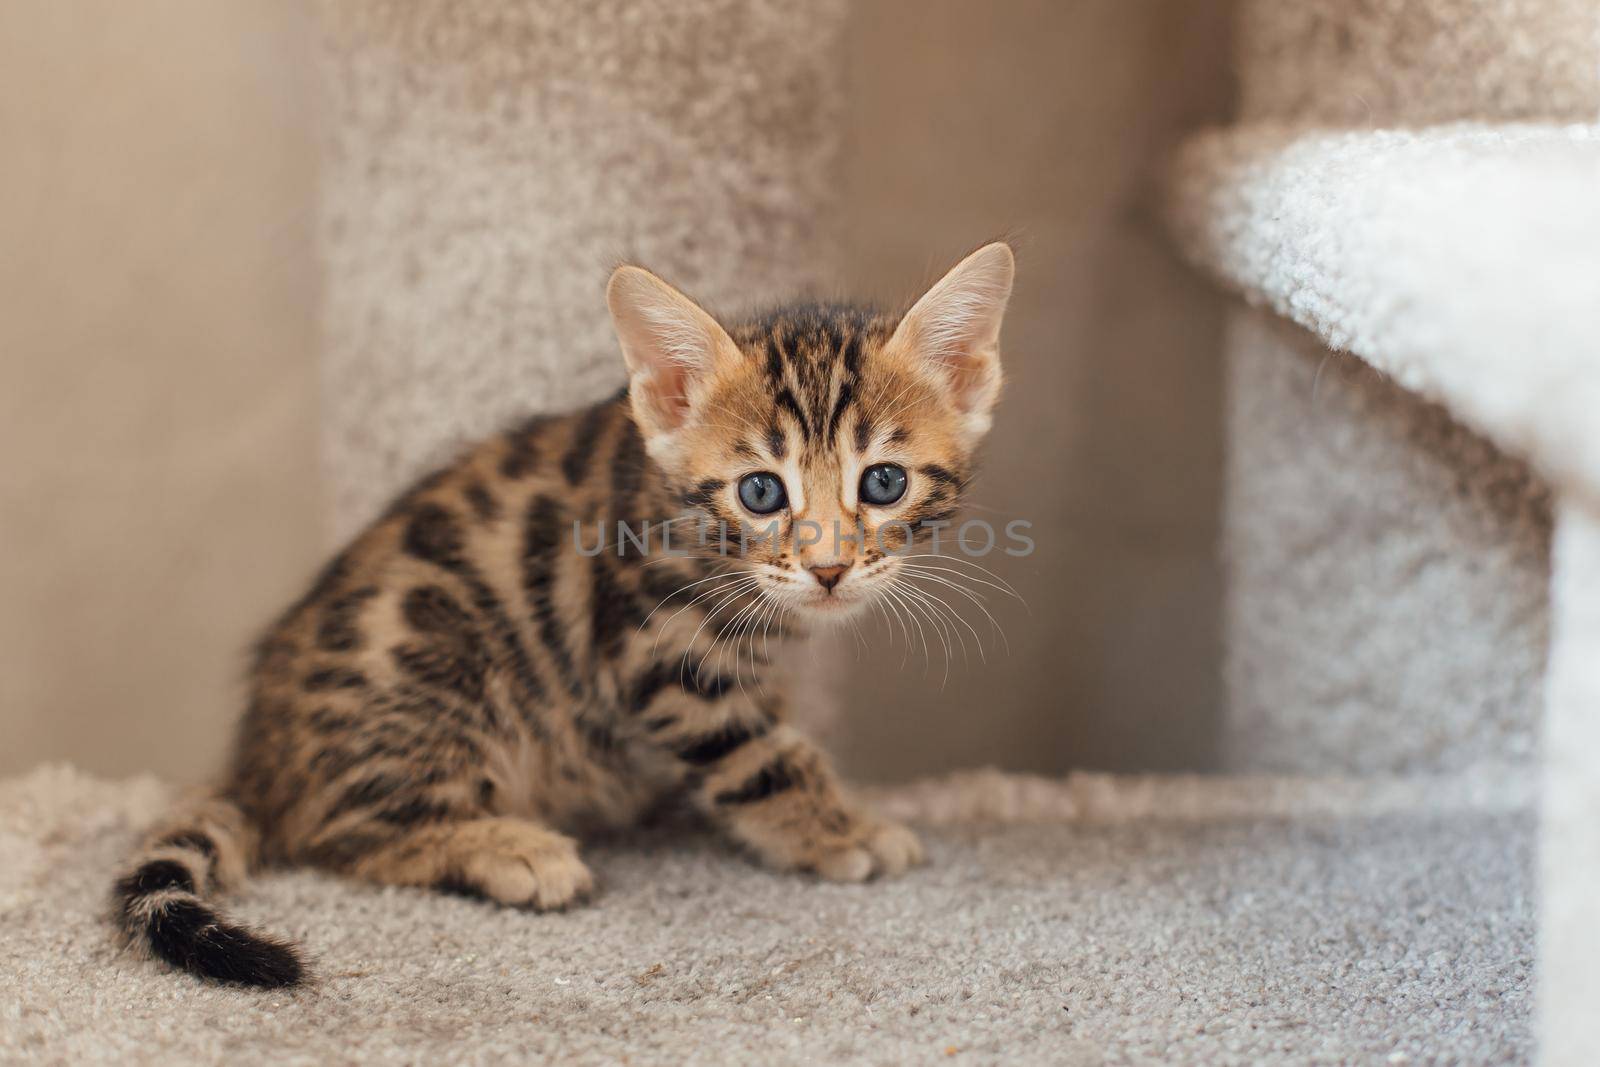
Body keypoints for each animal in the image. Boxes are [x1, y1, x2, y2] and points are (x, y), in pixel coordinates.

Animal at [112, 239, 1011, 985]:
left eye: (884, 481)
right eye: (761, 492)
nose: (828, 568)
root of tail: (259, 759)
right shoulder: (659, 648)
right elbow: (760, 756)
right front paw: (841, 829)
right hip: (435, 655)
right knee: (342, 831)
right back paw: (508, 847)